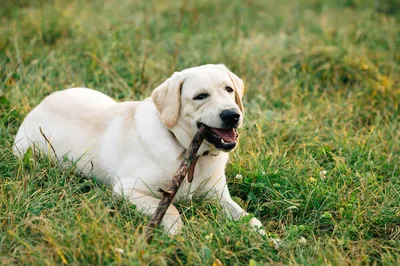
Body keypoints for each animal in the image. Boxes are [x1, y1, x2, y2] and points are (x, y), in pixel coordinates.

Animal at [13, 64, 266, 235]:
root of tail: (40, 103)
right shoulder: (128, 189)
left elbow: (249, 218)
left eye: (229, 89)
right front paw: (177, 235)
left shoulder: (218, 196)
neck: (187, 152)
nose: (233, 115)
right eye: (200, 96)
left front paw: (266, 239)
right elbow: (171, 209)